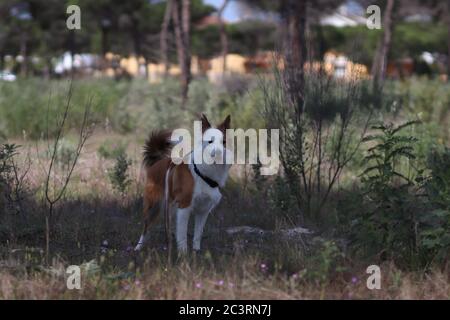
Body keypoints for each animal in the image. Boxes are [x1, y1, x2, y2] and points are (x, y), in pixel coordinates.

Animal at [134, 114, 232, 254]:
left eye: (223, 142)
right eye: (210, 142)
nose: (219, 153)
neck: (203, 173)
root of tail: (157, 162)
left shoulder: (203, 210)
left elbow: (197, 235)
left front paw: (196, 252)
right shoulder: (184, 206)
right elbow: (183, 234)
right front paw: (183, 254)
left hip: (171, 207)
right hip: (154, 206)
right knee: (146, 228)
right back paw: (138, 248)